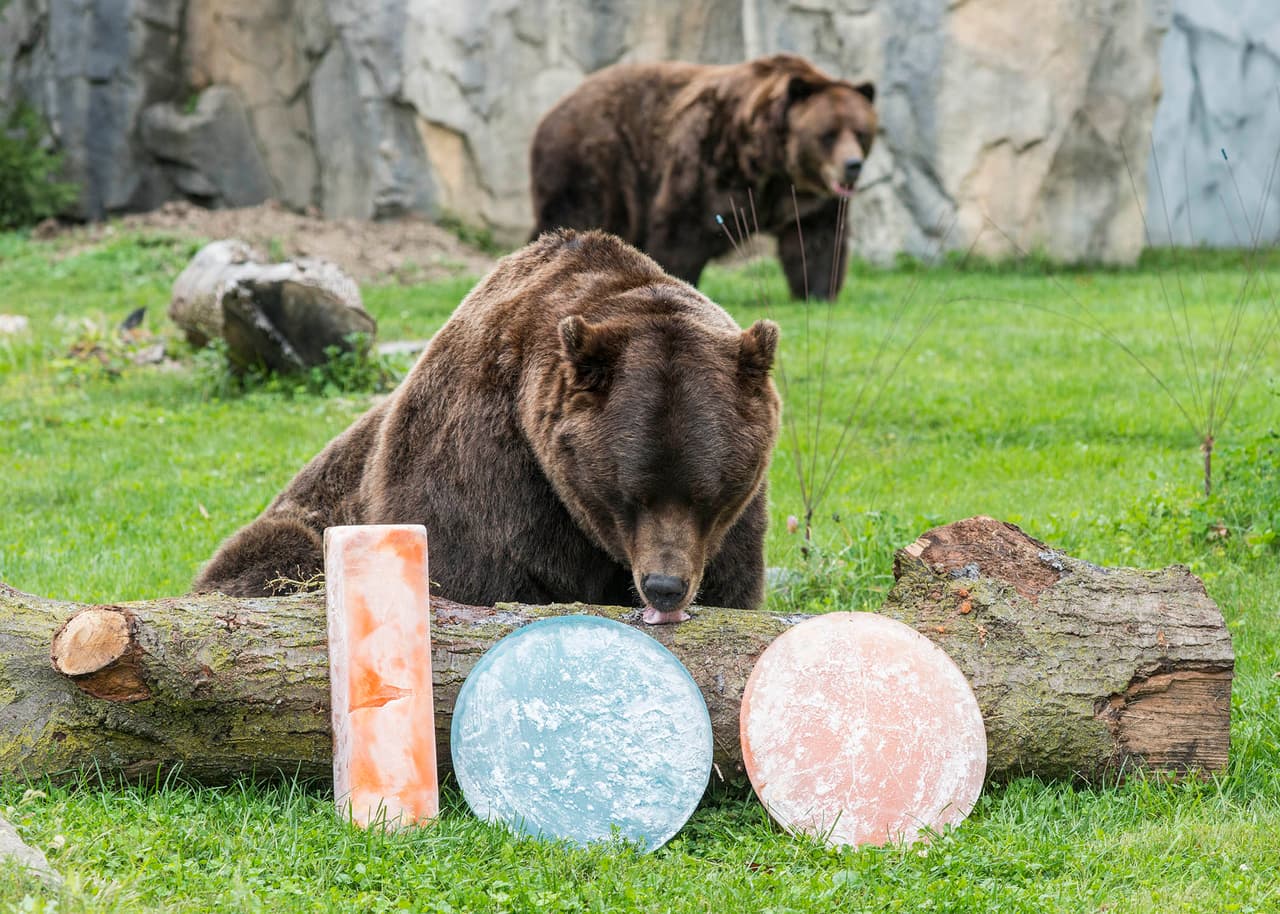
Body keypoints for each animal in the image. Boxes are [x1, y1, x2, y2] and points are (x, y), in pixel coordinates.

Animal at [194, 230, 782, 624]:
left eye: (706, 494)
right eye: (629, 493)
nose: (663, 586)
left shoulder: (735, 524)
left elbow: (731, 583)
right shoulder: (482, 464)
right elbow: (473, 577)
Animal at [529, 53, 877, 301]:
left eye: (860, 132)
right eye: (828, 134)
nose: (853, 165)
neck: (770, 160)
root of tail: (552, 110)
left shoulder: (808, 196)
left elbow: (817, 239)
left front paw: (817, 292)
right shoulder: (711, 157)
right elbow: (683, 228)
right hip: (595, 162)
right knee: (576, 213)